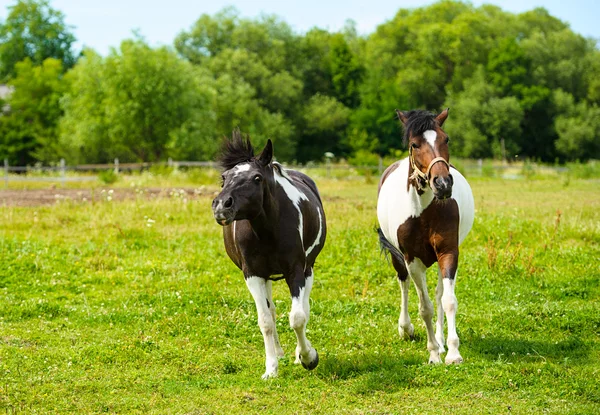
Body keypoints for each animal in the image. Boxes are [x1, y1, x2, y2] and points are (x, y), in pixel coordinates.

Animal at [210, 131, 324, 380]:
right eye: (224, 177)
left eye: (256, 178)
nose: (222, 205)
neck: (268, 229)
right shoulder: (253, 275)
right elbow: (265, 321)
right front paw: (271, 369)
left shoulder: (295, 270)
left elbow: (298, 317)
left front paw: (308, 357)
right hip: (267, 276)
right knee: (271, 311)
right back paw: (280, 353)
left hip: (308, 268)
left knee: (304, 308)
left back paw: (298, 353)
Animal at [378, 109, 476, 366]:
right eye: (414, 144)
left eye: (446, 139)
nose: (442, 184)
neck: (424, 212)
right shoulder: (412, 260)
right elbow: (425, 307)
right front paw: (432, 353)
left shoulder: (448, 252)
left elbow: (447, 300)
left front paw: (451, 352)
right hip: (400, 259)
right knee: (403, 284)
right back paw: (406, 329)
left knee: (440, 294)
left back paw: (441, 342)